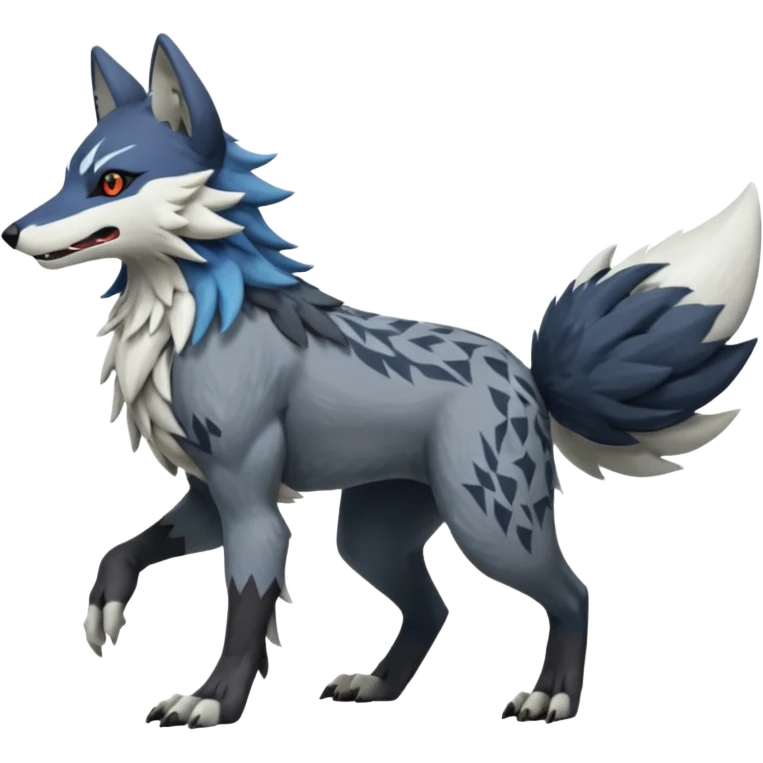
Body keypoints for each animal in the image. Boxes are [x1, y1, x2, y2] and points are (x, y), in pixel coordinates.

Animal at [2, 34, 760, 729]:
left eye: (112, 182)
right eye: (69, 174)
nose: (12, 233)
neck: (192, 323)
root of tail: (531, 378)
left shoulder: (250, 498)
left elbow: (246, 607)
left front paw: (212, 701)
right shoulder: (209, 491)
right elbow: (124, 551)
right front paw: (103, 611)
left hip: (489, 525)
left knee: (572, 593)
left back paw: (550, 699)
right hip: (372, 534)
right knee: (434, 606)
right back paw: (377, 685)